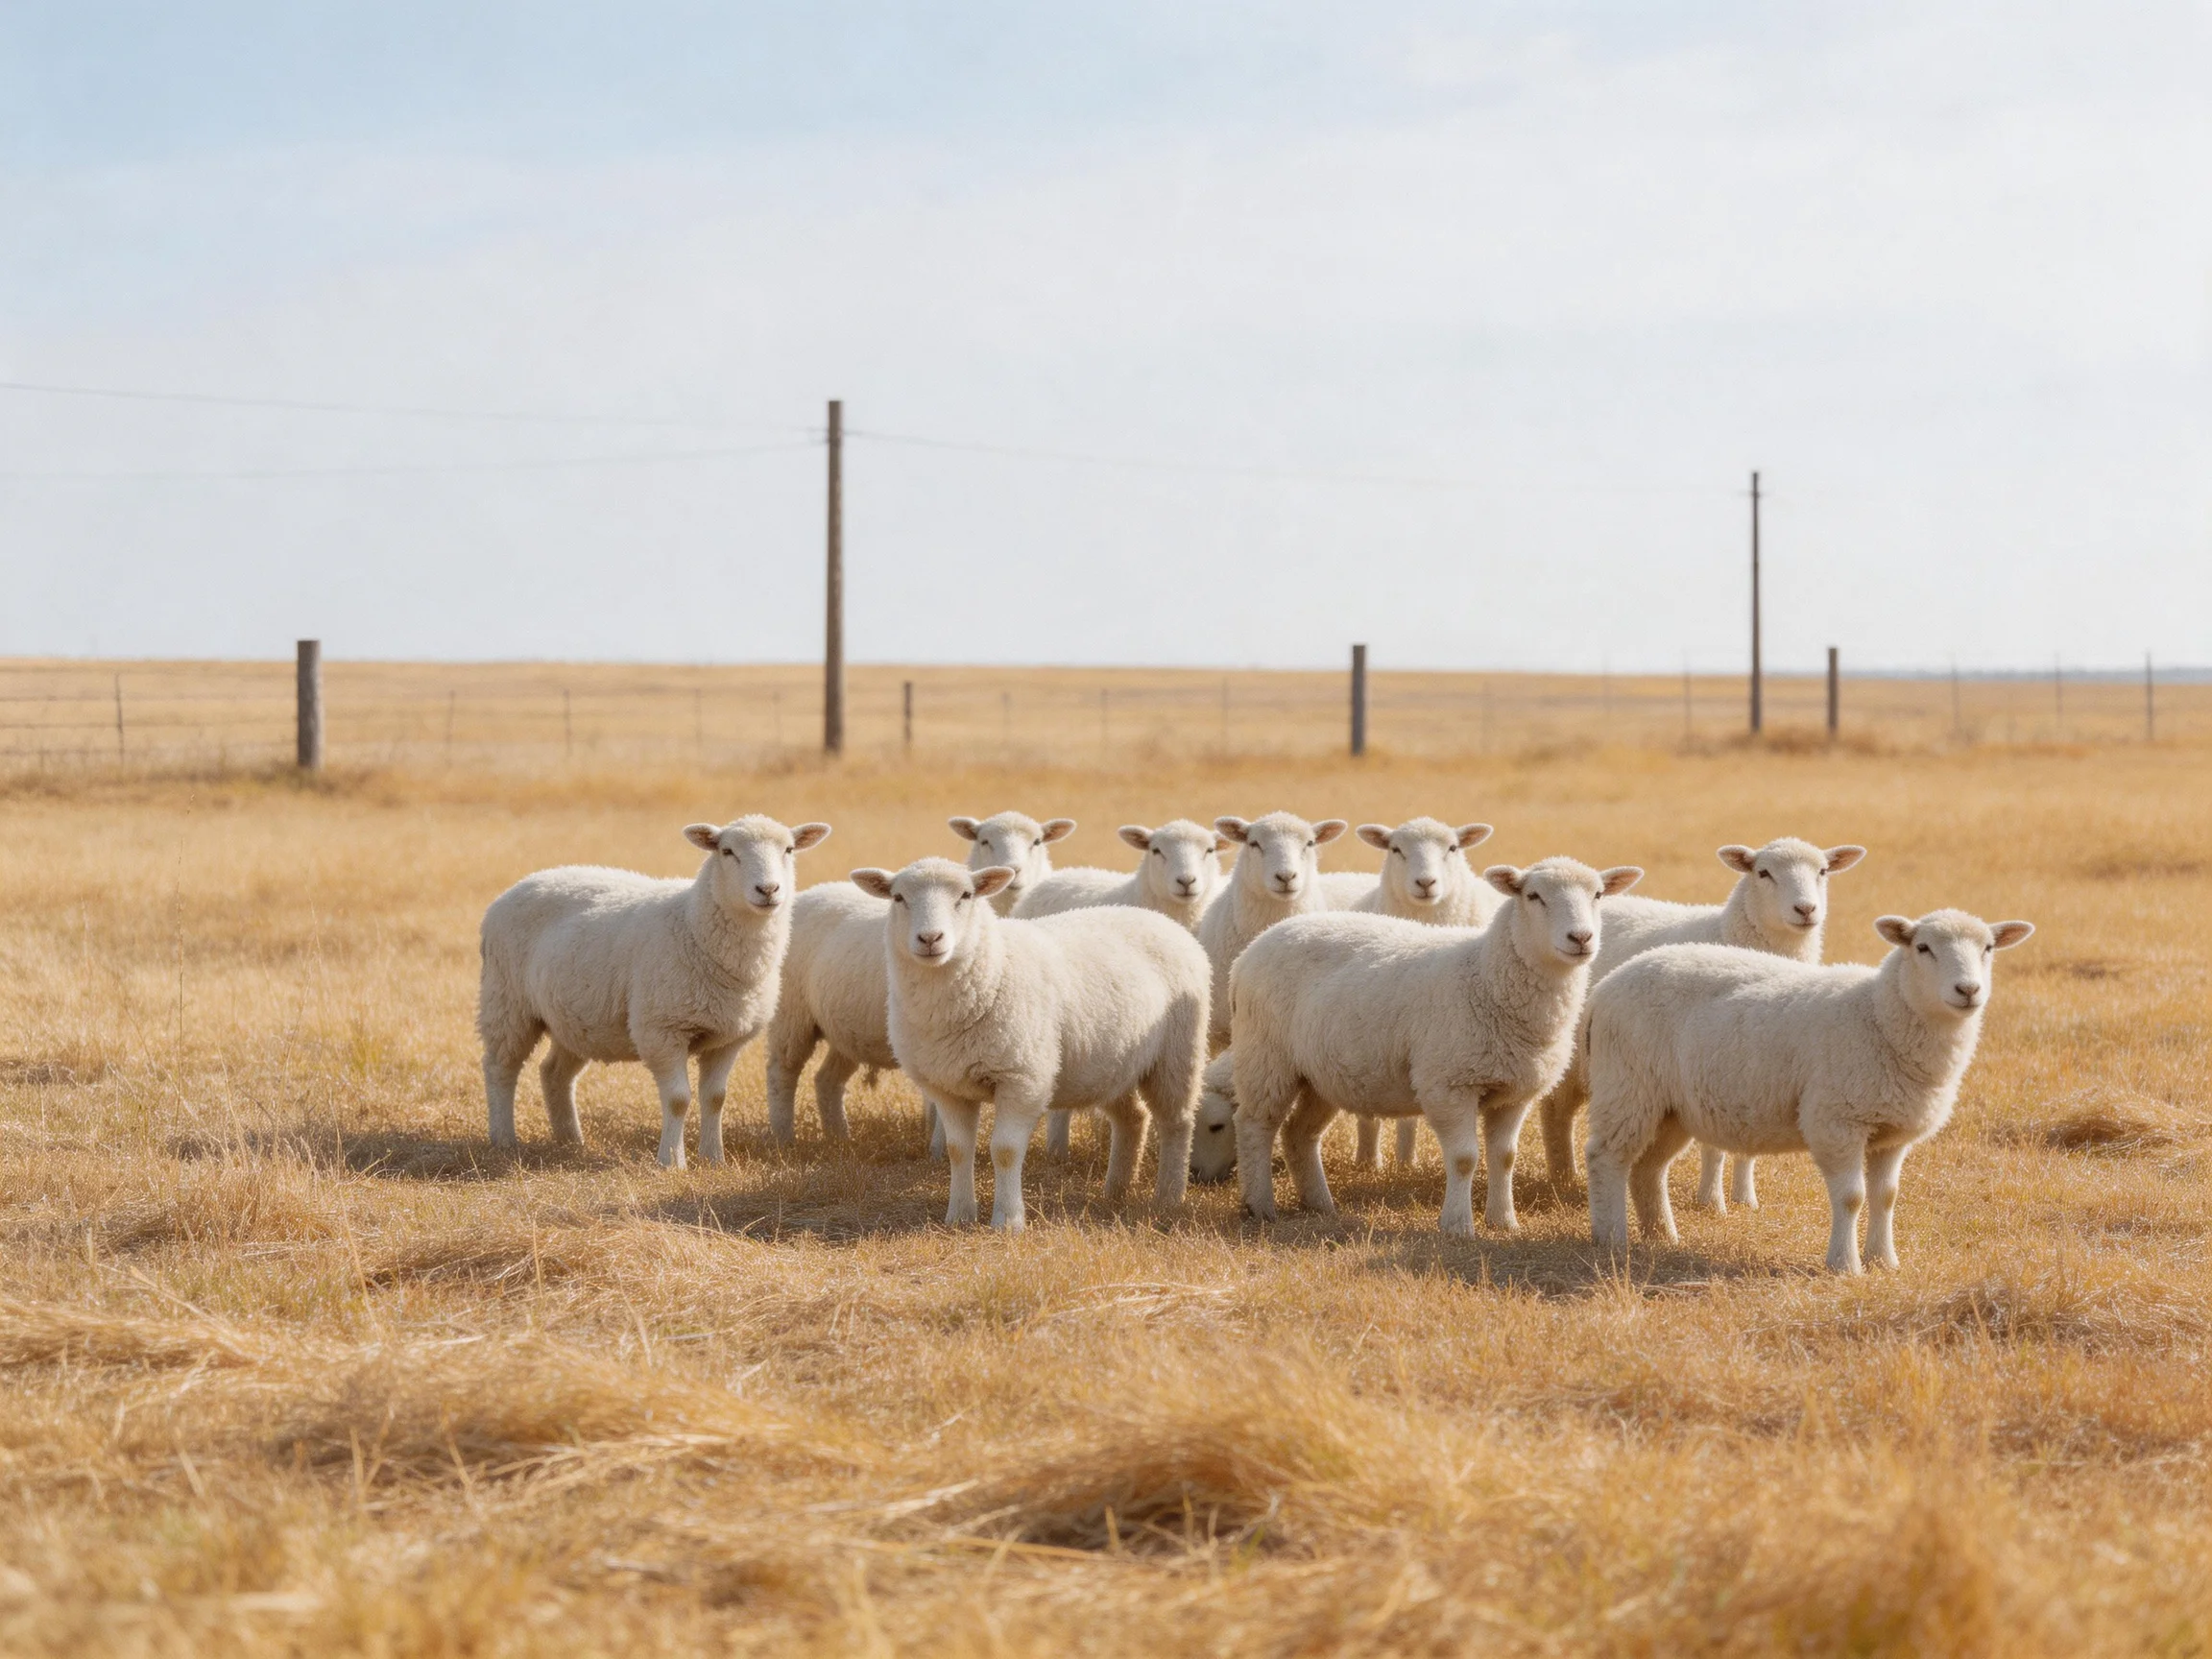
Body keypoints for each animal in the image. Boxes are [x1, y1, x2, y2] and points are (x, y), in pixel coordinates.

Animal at [479, 815, 832, 1167]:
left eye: (789, 850)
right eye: (727, 851)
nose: (768, 890)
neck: (693, 926)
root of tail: (525, 881)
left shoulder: (728, 1037)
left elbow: (715, 1098)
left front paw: (713, 1158)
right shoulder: (662, 1030)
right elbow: (678, 1099)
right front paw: (672, 1162)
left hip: (575, 1018)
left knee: (554, 1073)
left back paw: (570, 1141)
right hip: (506, 1001)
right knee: (500, 1068)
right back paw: (504, 1139)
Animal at [849, 857, 1209, 1230]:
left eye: (965, 895)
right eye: (898, 898)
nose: (931, 938)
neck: (993, 967)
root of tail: (1161, 919)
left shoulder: (1023, 1079)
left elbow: (1005, 1150)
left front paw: (1008, 1220)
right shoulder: (947, 1086)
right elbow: (958, 1149)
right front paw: (959, 1216)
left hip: (1177, 1053)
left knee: (1177, 1121)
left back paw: (1168, 1196)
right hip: (1112, 1063)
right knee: (1133, 1118)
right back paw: (1117, 1191)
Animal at [1228, 857, 1642, 1236]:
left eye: (1598, 895)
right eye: (1533, 896)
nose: (1581, 938)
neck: (1486, 977)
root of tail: (1255, 946)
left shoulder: (1513, 1092)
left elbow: (1504, 1157)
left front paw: (1504, 1222)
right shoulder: (1449, 1084)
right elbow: (1463, 1159)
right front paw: (1457, 1226)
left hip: (1321, 1074)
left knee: (1299, 1133)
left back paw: (1319, 1205)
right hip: (1266, 1056)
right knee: (1254, 1125)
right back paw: (1260, 1206)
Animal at [1534, 838, 1868, 1208]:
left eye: (1823, 871)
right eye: (1763, 873)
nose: (1806, 909)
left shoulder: (1752, 1068)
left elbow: (1746, 1144)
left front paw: (1744, 1198)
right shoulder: (1707, 1066)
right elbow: (1713, 1146)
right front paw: (1712, 1200)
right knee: (1555, 1111)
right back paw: (1564, 1176)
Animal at [1584, 910, 2033, 1272]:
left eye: (1989, 948)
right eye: (1923, 948)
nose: (1968, 990)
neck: (1877, 1015)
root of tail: (1607, 984)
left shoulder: (1891, 1131)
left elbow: (1886, 1196)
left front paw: (1884, 1261)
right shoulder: (1836, 1120)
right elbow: (1852, 1197)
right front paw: (1845, 1265)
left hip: (1670, 1106)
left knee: (1648, 1168)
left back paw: (1661, 1235)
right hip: (1627, 1086)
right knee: (1607, 1157)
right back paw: (1612, 1238)